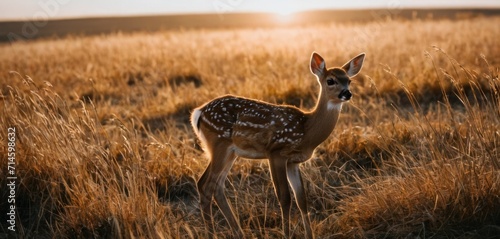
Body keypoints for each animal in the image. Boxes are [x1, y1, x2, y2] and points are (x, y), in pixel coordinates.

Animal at [189, 51, 366, 238]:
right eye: (330, 80)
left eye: (349, 80)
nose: (347, 93)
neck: (306, 130)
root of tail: (198, 113)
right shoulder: (276, 152)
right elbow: (285, 198)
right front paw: (286, 234)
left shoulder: (293, 162)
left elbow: (301, 199)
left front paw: (309, 235)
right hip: (219, 143)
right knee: (207, 186)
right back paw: (213, 233)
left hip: (229, 151)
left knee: (213, 186)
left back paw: (238, 232)